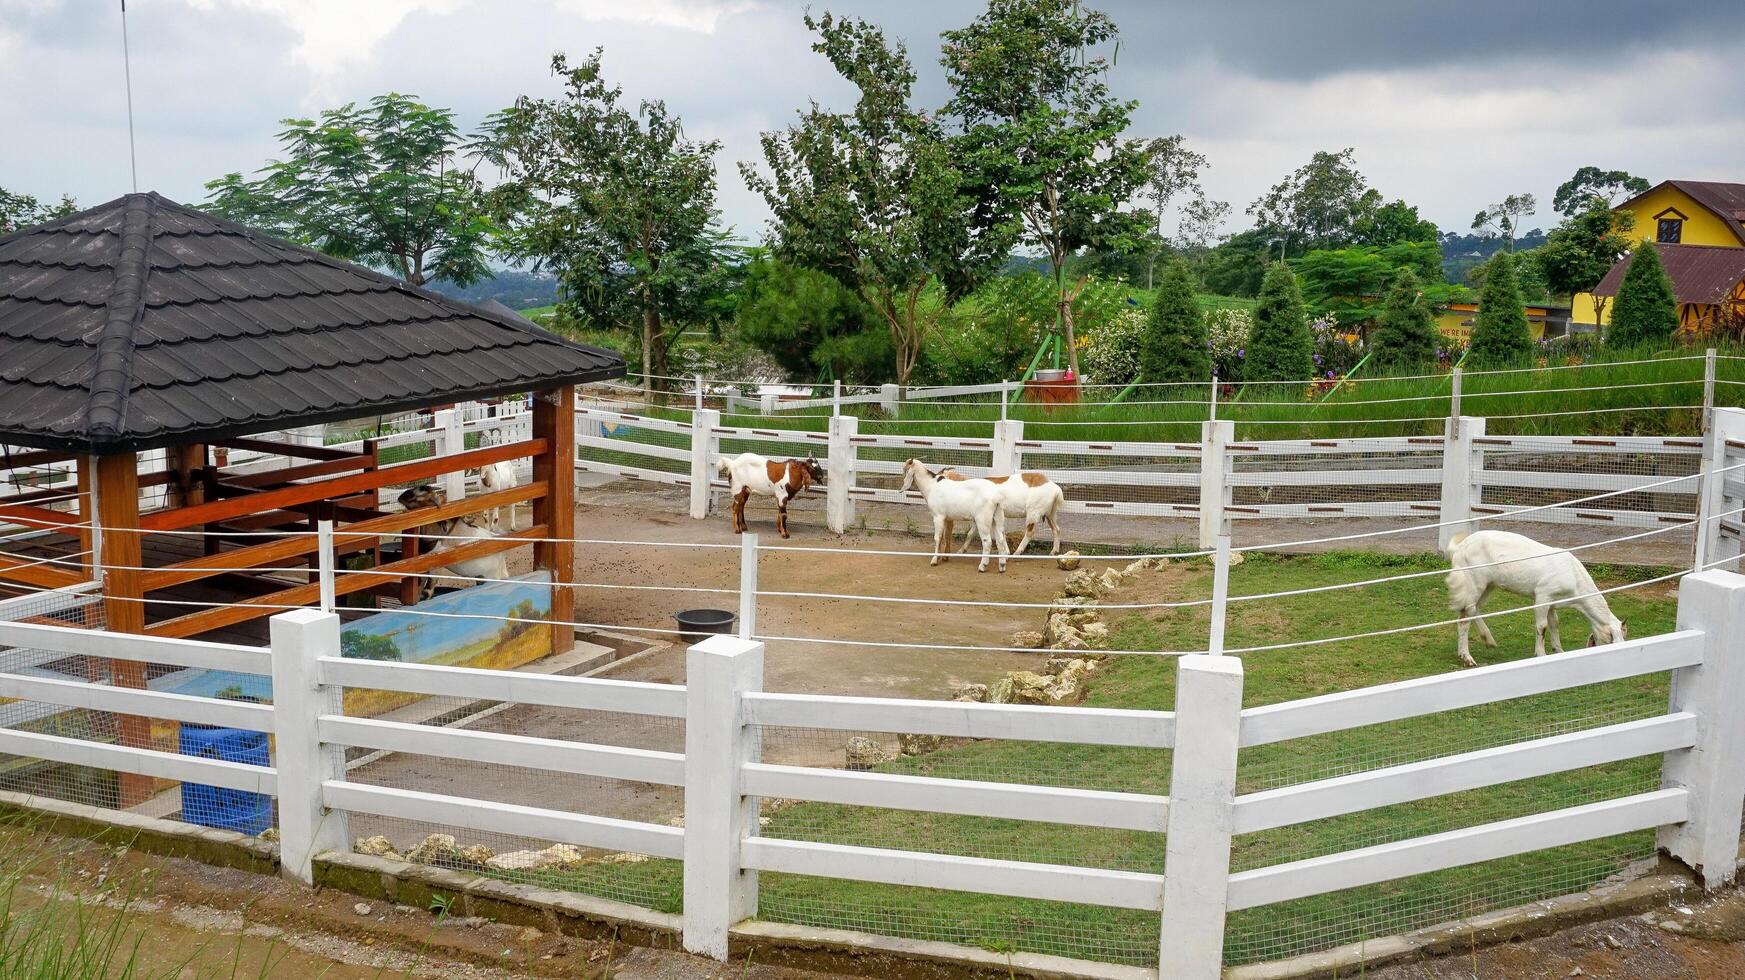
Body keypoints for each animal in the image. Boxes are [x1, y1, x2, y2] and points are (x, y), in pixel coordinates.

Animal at [1444, 530, 1619, 666]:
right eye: (1611, 638)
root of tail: (1459, 547)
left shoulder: (1553, 601)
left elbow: (1554, 623)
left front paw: (1558, 650)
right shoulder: (1543, 595)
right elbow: (1542, 626)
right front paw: (1541, 654)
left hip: (1488, 585)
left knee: (1474, 609)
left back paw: (1488, 640)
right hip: (1472, 581)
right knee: (1465, 615)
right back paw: (1467, 658)